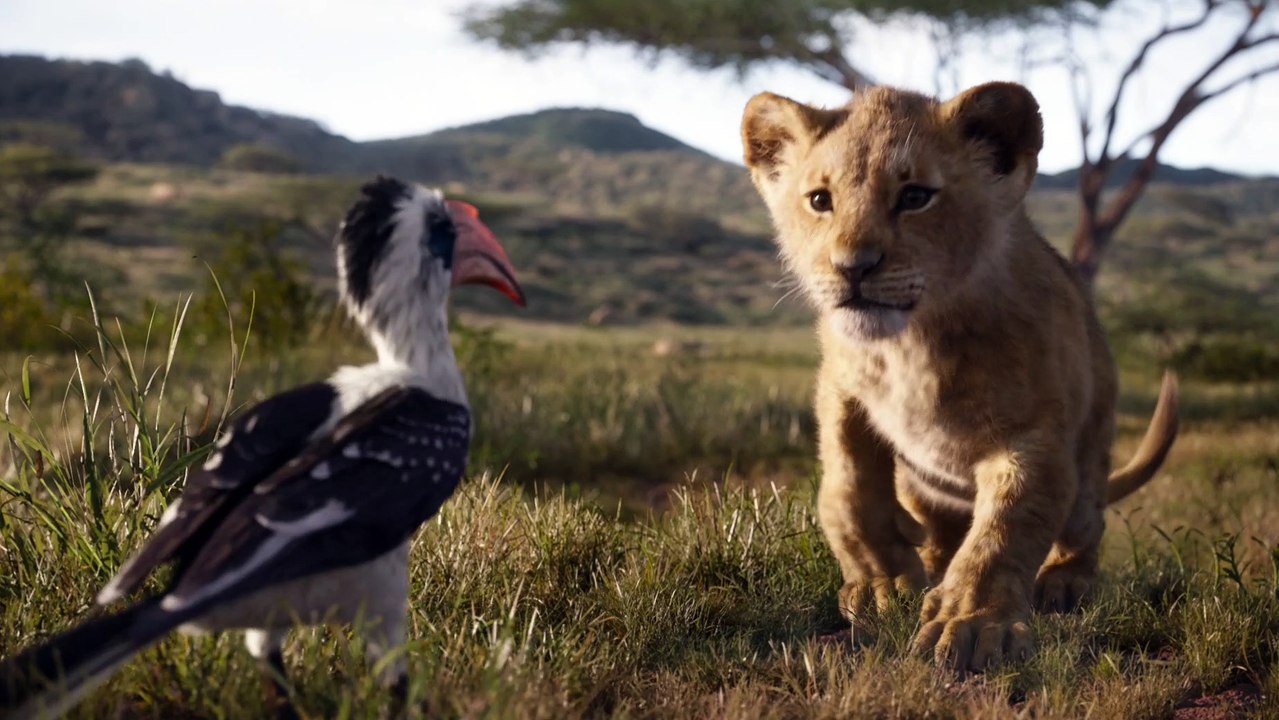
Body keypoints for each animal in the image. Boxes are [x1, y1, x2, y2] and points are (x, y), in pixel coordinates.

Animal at [740, 81, 1179, 672]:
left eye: (915, 197)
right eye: (819, 201)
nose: (852, 267)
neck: (910, 343)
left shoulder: (1034, 435)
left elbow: (1003, 532)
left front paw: (972, 625)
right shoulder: (841, 389)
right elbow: (849, 489)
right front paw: (882, 586)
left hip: (1091, 458)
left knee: (1082, 526)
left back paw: (1063, 584)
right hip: (921, 488)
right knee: (941, 532)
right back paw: (930, 564)